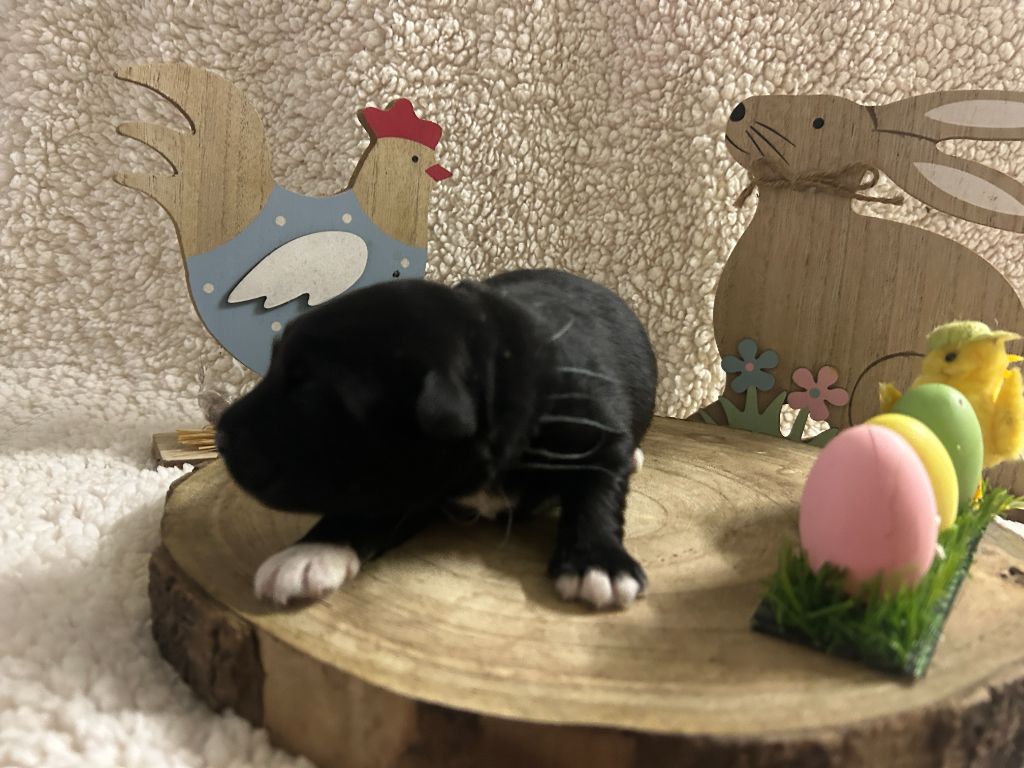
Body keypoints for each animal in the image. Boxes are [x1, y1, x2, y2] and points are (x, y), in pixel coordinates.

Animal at [215, 269, 658, 611]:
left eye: (308, 388)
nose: (219, 434)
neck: (504, 362)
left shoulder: (598, 432)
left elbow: (596, 491)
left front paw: (598, 564)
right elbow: (369, 503)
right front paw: (310, 553)